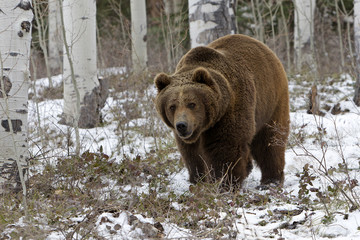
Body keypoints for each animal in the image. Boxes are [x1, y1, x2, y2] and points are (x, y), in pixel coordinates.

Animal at [153, 34, 288, 188]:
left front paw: (224, 183)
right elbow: (192, 153)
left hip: (271, 101)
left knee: (270, 140)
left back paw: (270, 181)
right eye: (172, 106)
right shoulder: (190, 135)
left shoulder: (231, 109)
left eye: (192, 104)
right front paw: (199, 180)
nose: (181, 125)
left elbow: (226, 146)